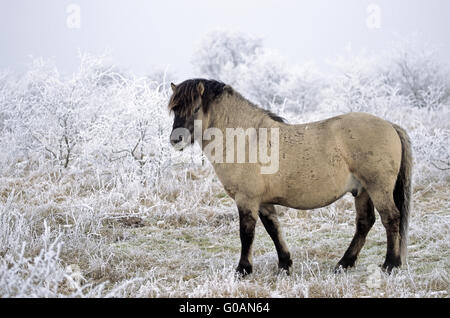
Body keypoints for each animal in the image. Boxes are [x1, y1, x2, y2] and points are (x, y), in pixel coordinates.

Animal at [168, 78, 412, 274]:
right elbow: (273, 229)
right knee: (365, 222)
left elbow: (246, 234)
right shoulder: (263, 202)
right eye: (174, 109)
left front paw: (243, 270)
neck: (246, 139)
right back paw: (344, 263)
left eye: (196, 108)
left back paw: (390, 264)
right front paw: (285, 264)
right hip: (361, 190)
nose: (175, 139)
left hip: (377, 188)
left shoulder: (247, 200)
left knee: (390, 219)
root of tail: (390, 125)